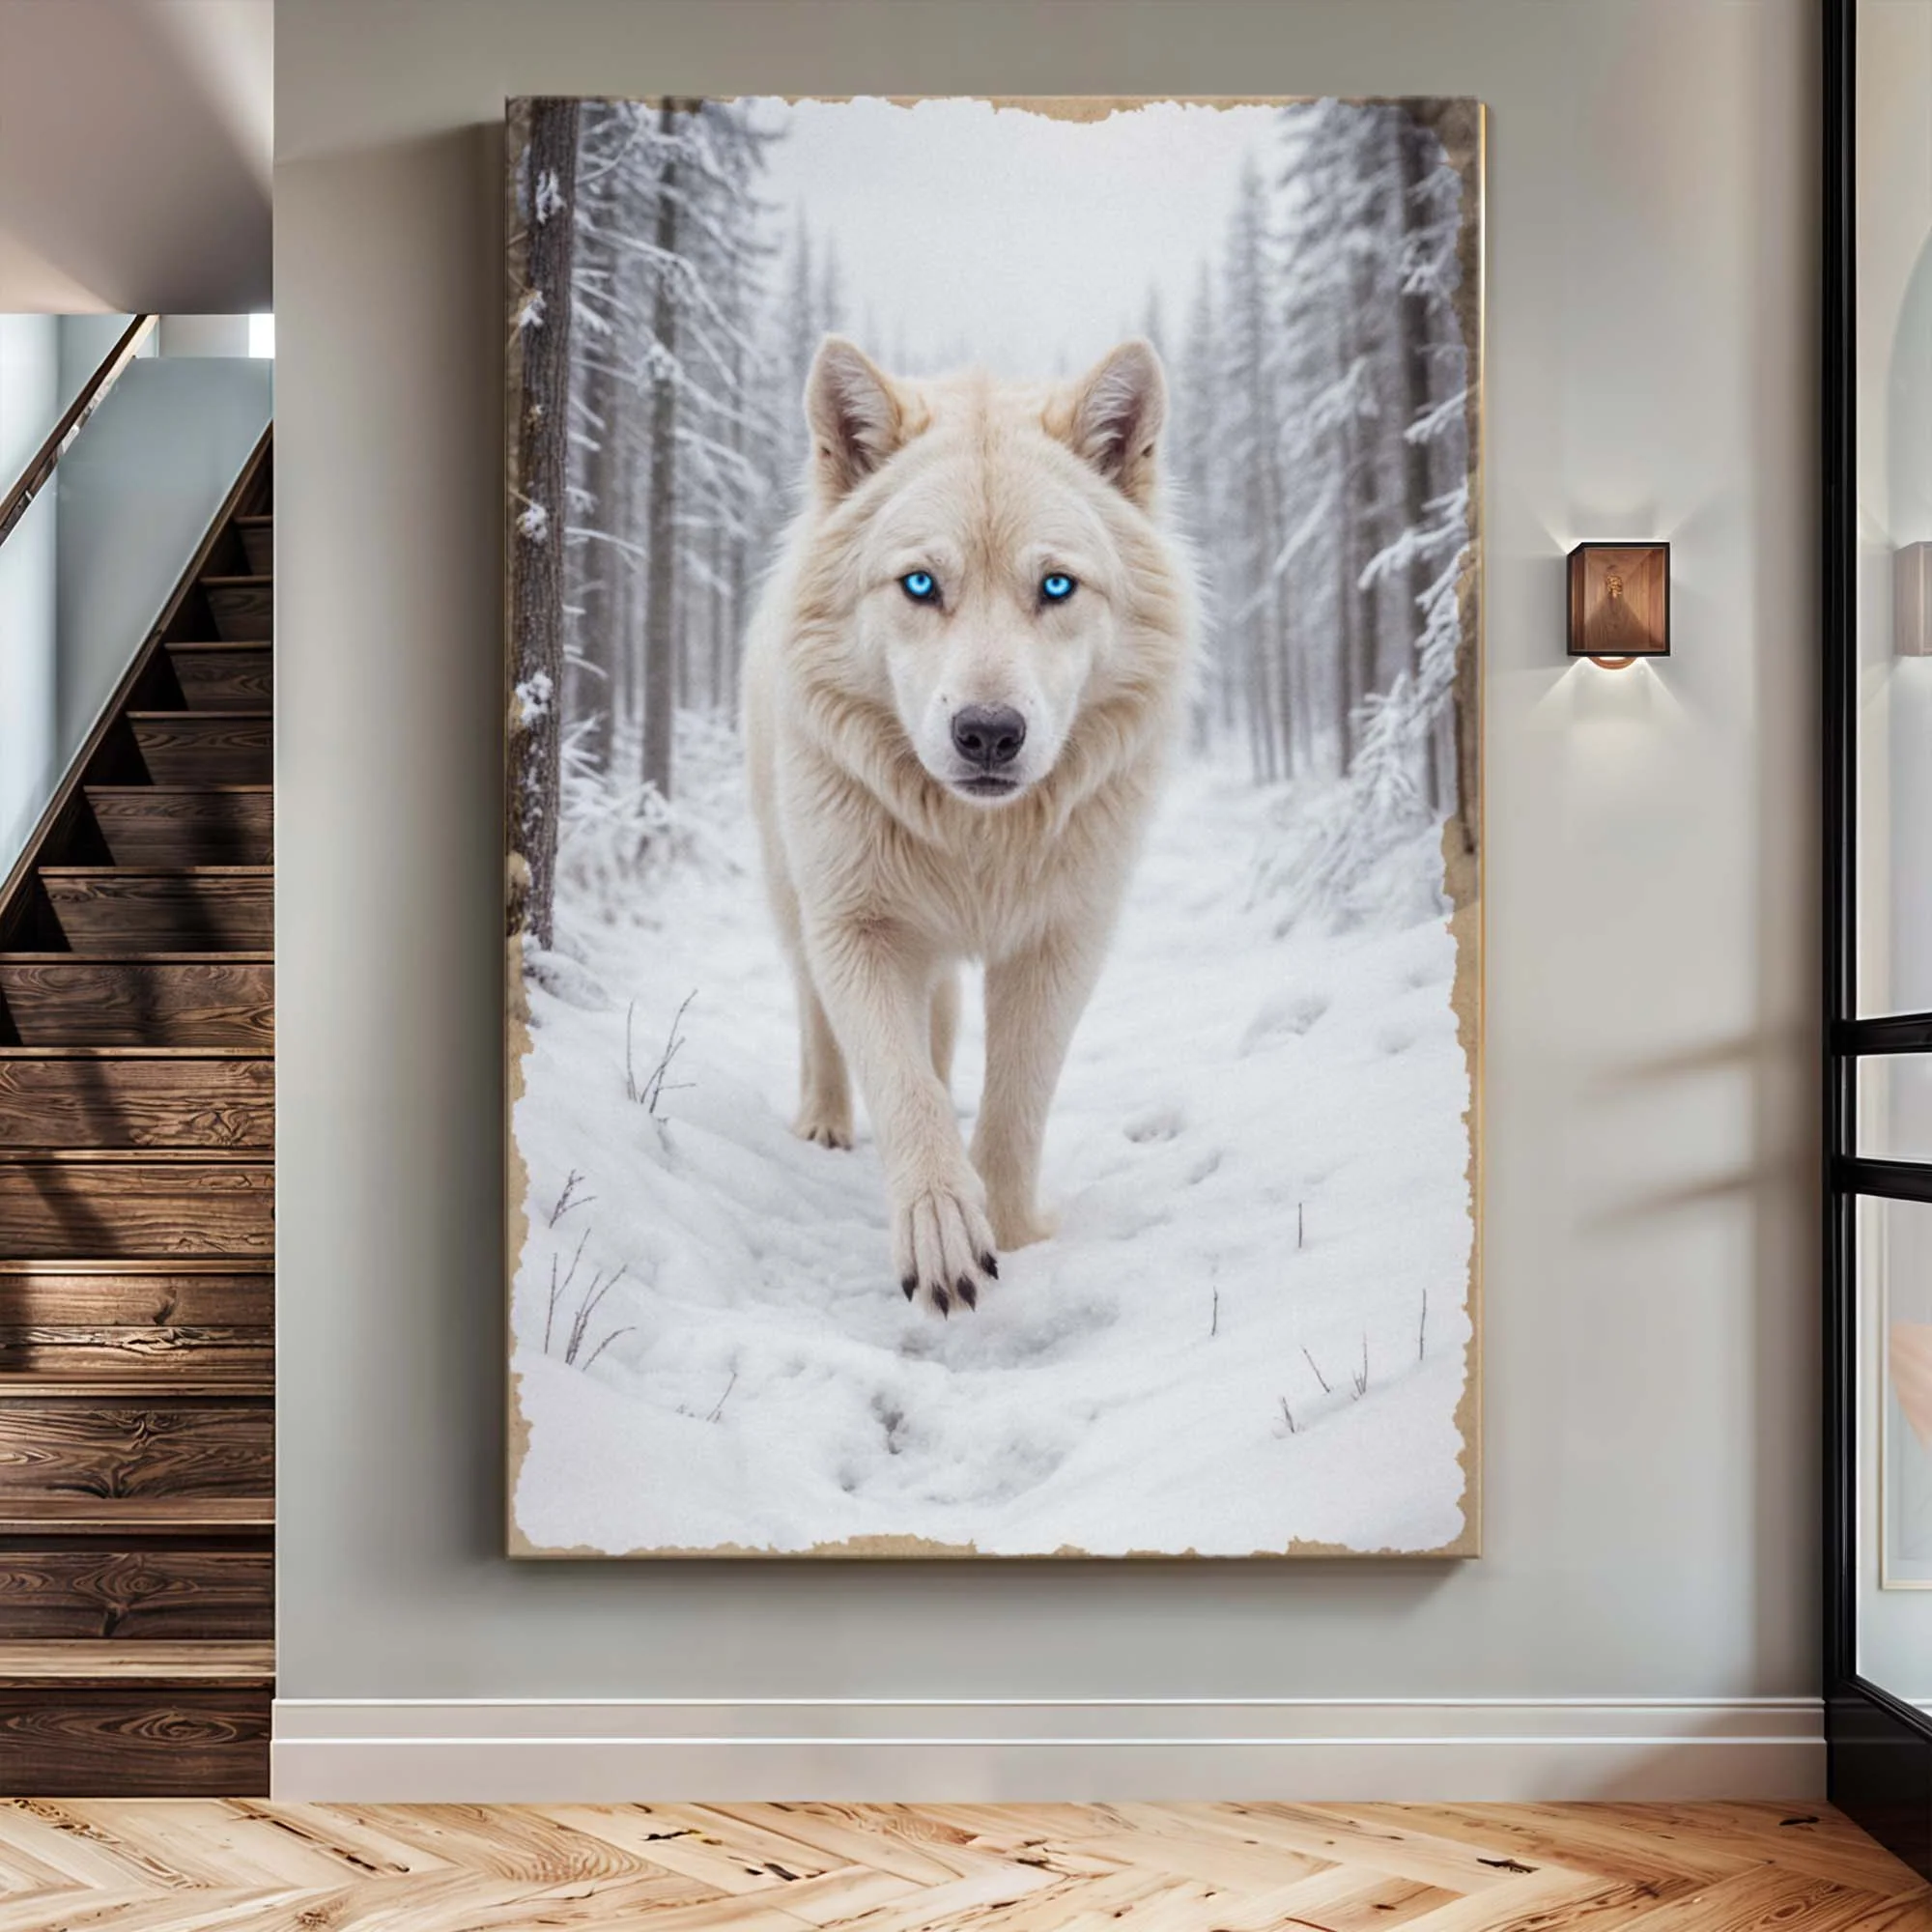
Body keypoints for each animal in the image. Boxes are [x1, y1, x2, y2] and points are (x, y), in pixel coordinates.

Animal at [741, 334, 1195, 1315]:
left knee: (944, 1033)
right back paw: (825, 1121)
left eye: (1056, 586)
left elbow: (1017, 1100)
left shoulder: (1063, 941)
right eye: (920, 585)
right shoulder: (858, 930)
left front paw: (1014, 1234)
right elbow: (898, 1083)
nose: (988, 733)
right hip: (797, 899)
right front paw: (943, 1230)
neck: (976, 843)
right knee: (819, 1018)